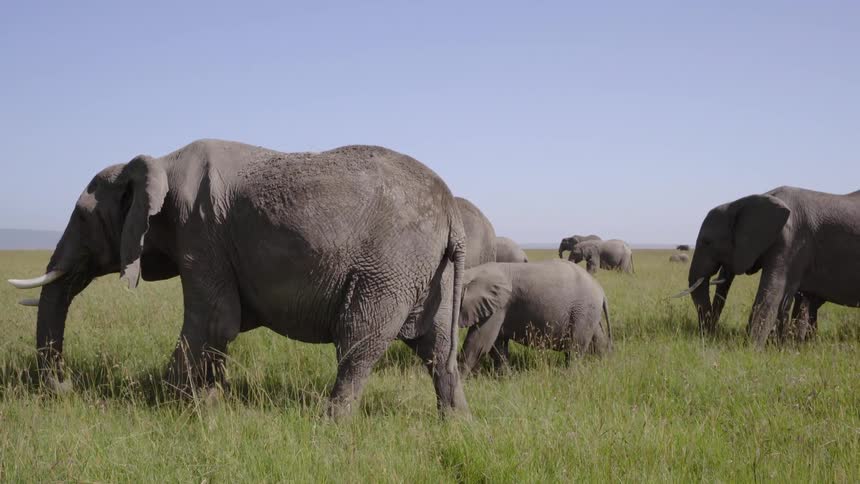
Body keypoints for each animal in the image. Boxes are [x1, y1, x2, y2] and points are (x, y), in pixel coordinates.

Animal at [7, 139, 471, 417]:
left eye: (84, 218)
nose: (65, 387)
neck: (158, 162)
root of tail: (452, 212)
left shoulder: (199, 230)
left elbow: (214, 320)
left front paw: (167, 403)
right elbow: (223, 326)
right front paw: (211, 400)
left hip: (390, 265)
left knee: (358, 339)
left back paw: (329, 424)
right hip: (433, 271)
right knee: (437, 349)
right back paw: (457, 424)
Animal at [458, 260, 611, 375]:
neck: (473, 272)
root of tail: (601, 291)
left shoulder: (498, 306)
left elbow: (479, 343)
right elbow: (496, 345)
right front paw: (507, 377)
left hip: (583, 310)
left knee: (575, 346)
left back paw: (567, 375)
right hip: (588, 312)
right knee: (597, 338)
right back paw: (604, 364)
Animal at [674, 186, 860, 346]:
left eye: (707, 242)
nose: (709, 335)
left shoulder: (793, 242)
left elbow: (772, 293)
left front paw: (750, 350)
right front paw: (776, 347)